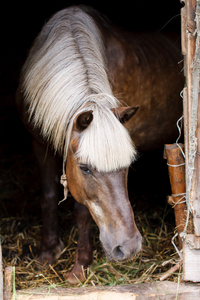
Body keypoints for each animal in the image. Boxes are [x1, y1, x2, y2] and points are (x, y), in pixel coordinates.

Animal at [16, 6, 184, 284]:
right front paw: (47, 254)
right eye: (84, 168)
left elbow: (82, 211)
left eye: (127, 167)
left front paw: (79, 267)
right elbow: (48, 198)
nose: (128, 247)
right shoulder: (39, 145)